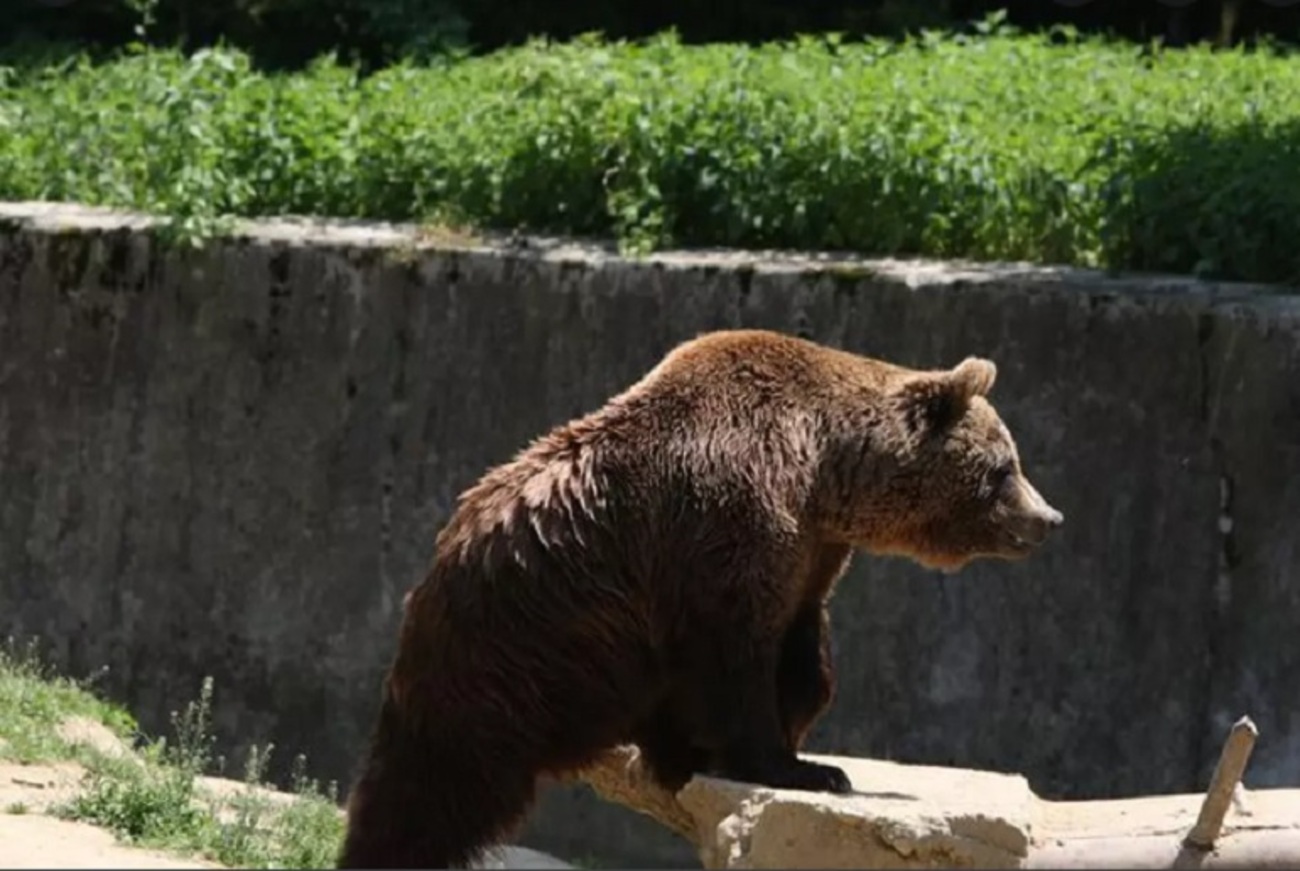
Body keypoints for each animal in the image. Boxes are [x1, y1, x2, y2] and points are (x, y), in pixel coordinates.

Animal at [340, 328, 1060, 871]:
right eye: (1005, 466)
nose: (1047, 518)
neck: (823, 470)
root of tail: (430, 575)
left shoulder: (810, 549)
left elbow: (805, 654)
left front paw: (775, 736)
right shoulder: (731, 515)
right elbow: (735, 654)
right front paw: (806, 768)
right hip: (506, 665)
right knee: (429, 798)